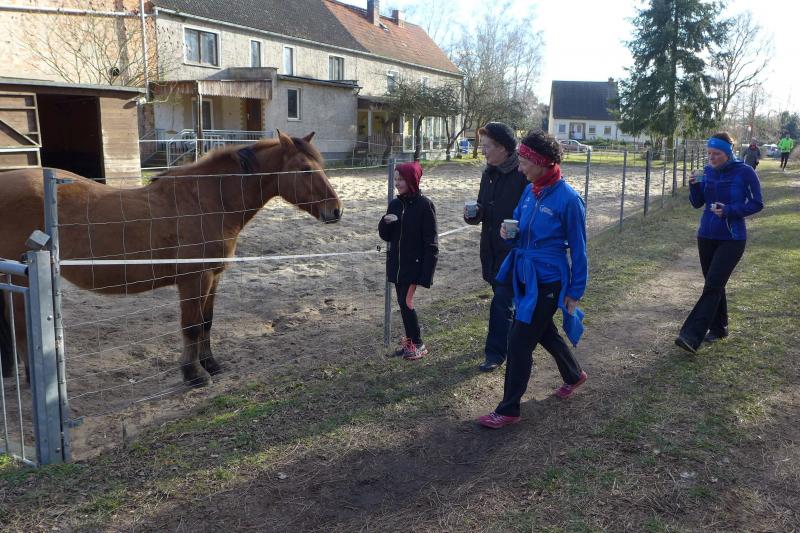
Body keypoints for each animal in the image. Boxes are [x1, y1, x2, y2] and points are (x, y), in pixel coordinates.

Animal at [0, 131, 342, 386]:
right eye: (304, 169)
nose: (336, 211)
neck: (206, 201)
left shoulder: (213, 276)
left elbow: (206, 322)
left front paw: (211, 365)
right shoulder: (193, 279)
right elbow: (191, 327)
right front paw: (193, 375)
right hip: (18, 278)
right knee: (20, 328)